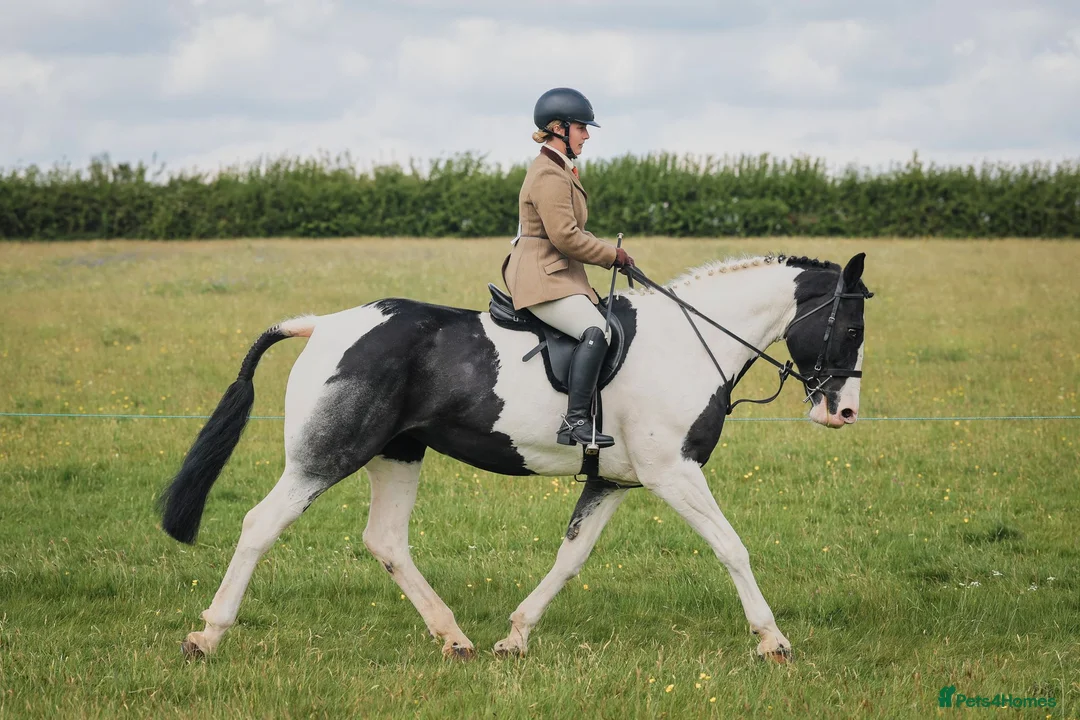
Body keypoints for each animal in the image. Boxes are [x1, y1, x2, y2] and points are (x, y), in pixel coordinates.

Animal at [159, 251, 872, 663]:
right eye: (850, 326)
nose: (843, 413)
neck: (687, 343)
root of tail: (326, 324)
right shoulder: (673, 474)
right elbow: (731, 547)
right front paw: (772, 640)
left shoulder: (615, 482)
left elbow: (570, 558)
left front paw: (515, 635)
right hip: (331, 453)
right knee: (261, 524)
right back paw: (207, 636)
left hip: (399, 452)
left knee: (386, 540)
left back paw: (455, 638)